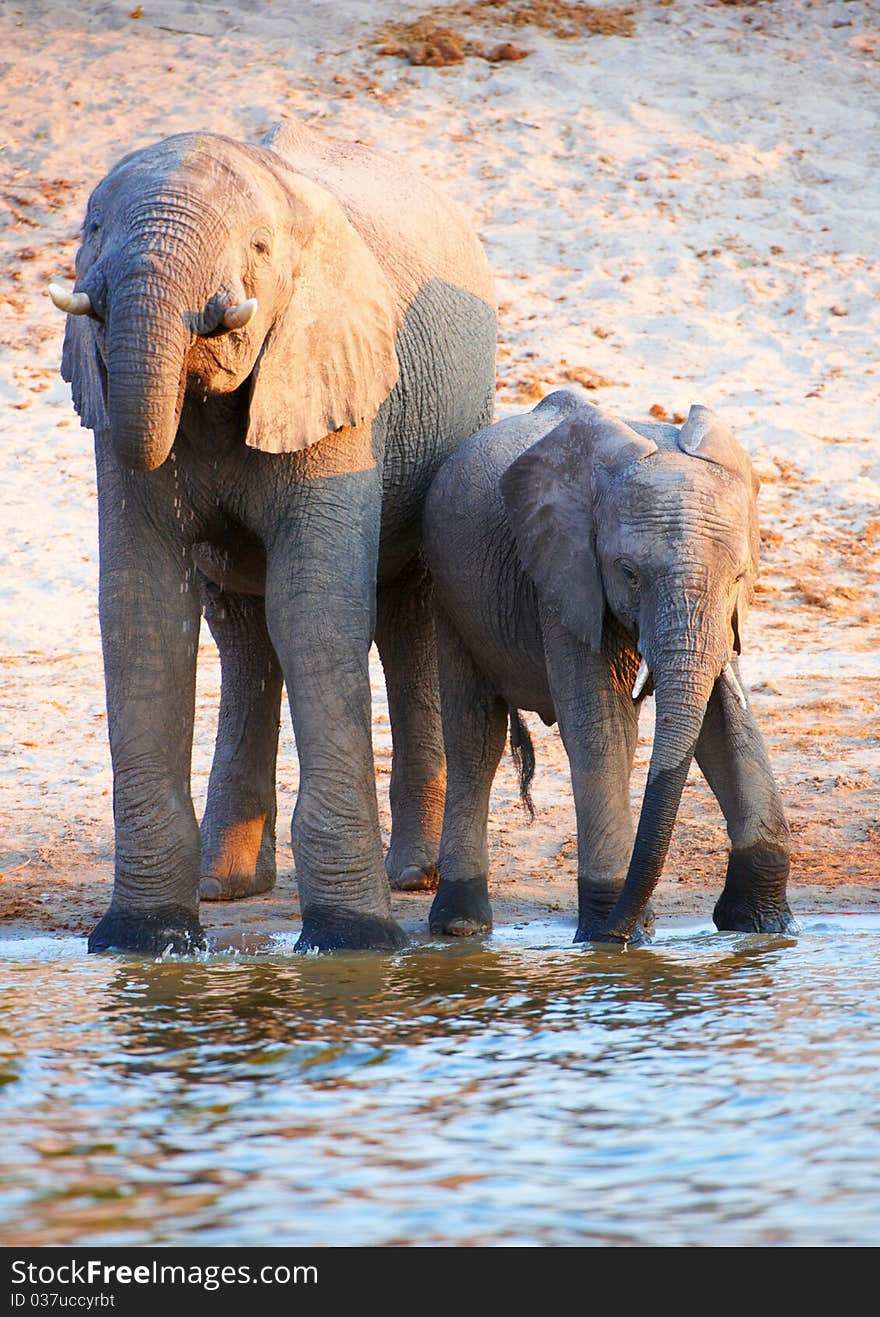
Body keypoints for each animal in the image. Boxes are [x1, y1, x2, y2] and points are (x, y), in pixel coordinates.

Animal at [51, 118, 497, 953]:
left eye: (257, 247)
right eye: (91, 230)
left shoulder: (334, 378)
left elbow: (313, 607)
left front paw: (352, 941)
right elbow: (144, 607)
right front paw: (143, 940)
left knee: (406, 612)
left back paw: (412, 876)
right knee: (241, 631)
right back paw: (223, 886)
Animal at [421, 389, 795, 948]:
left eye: (739, 577)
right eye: (629, 573)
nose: (622, 929)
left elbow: (724, 722)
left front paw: (765, 925)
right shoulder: (565, 577)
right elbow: (602, 727)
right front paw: (610, 936)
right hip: (451, 593)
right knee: (475, 738)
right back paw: (461, 926)